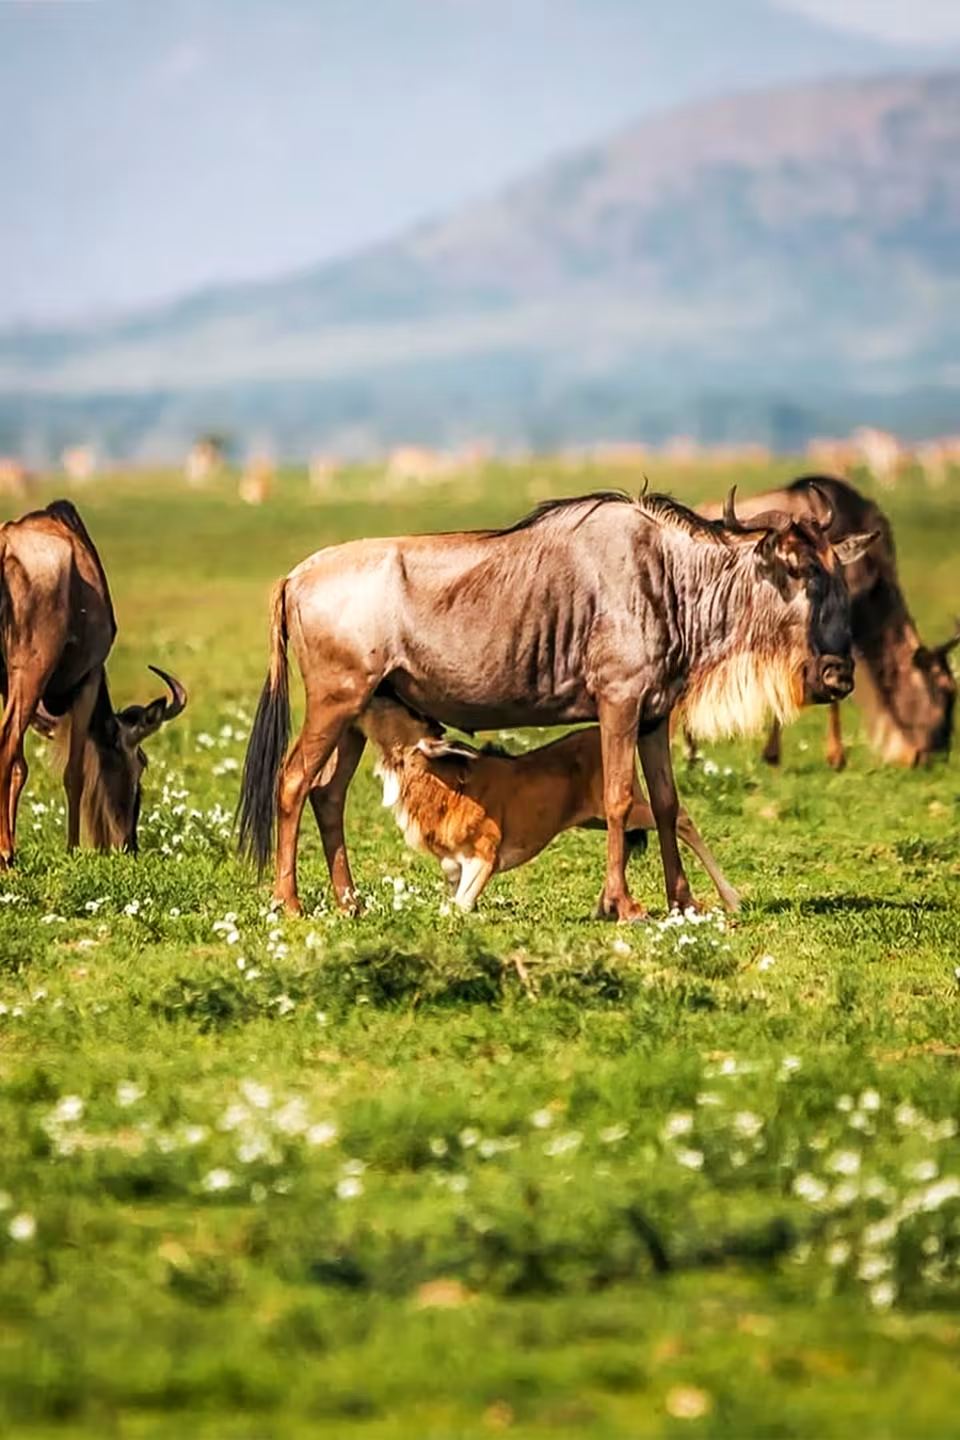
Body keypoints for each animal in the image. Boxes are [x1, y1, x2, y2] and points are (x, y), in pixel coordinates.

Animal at [0, 500, 187, 862]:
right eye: (141, 763)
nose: (130, 844)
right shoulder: (89, 678)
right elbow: (74, 773)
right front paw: (72, 848)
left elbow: (22, 767)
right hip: (30, 673)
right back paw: (4, 852)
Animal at [239, 487, 873, 920]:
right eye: (798, 570)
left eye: (841, 575)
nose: (839, 675)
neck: (672, 584)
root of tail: (294, 576)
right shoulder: (618, 704)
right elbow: (619, 798)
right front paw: (621, 904)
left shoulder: (654, 716)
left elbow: (667, 804)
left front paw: (683, 902)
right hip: (334, 702)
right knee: (292, 782)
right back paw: (289, 902)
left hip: (359, 714)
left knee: (328, 794)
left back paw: (349, 901)